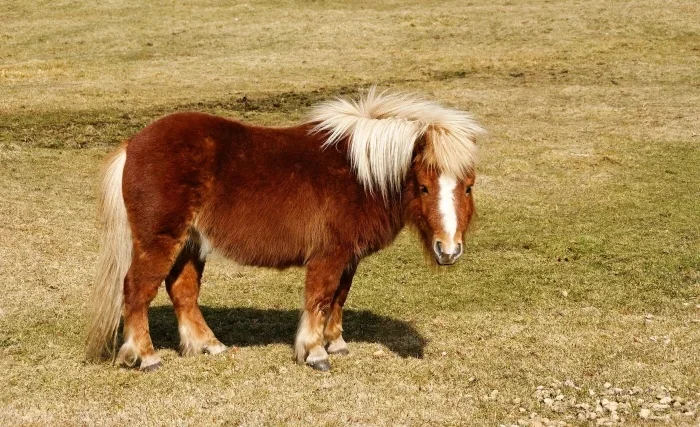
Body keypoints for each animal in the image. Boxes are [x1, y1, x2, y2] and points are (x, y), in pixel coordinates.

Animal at [85, 88, 484, 372]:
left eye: (468, 187)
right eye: (423, 187)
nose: (448, 250)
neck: (361, 174)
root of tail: (133, 144)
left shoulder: (348, 257)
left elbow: (338, 298)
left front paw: (336, 343)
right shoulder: (329, 255)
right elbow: (319, 298)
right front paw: (315, 352)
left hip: (190, 244)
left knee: (182, 292)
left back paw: (209, 345)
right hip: (159, 240)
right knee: (137, 291)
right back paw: (146, 357)